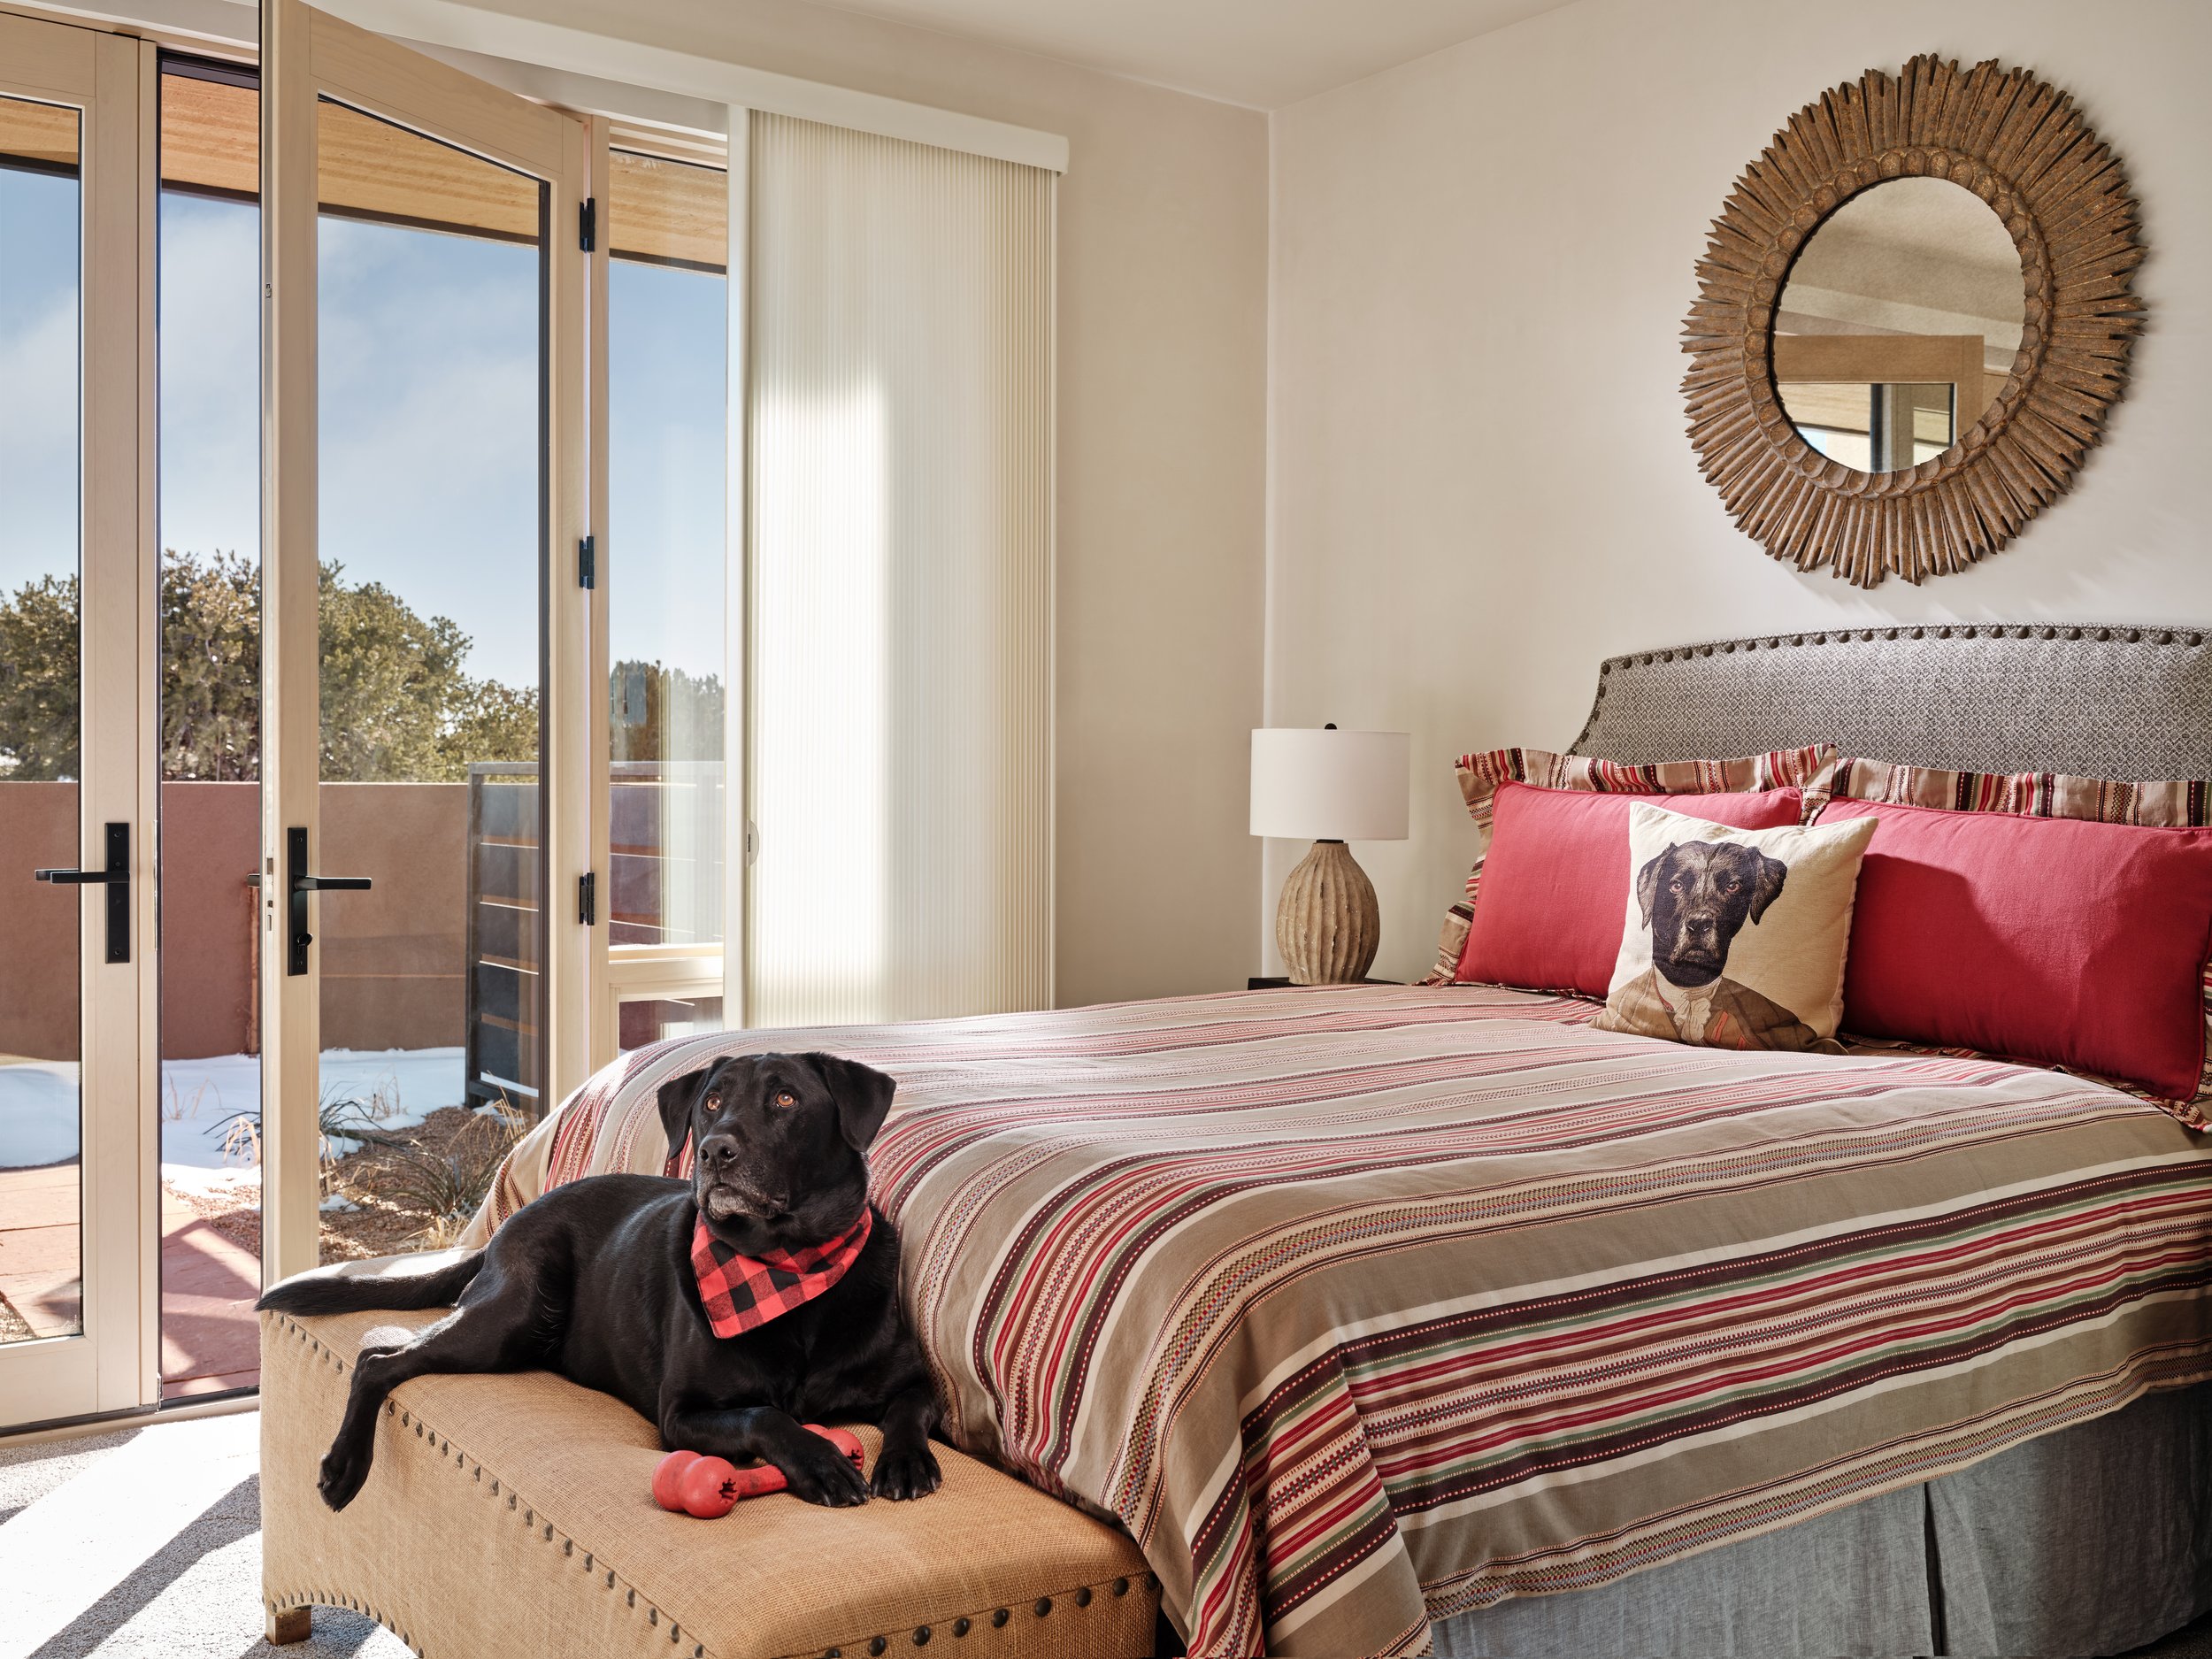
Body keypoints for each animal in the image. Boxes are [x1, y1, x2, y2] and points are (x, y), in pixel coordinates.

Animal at [254, 1057, 938, 1513]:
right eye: (711, 1103)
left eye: (787, 1101)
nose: (715, 1151)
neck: (787, 1270)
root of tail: (507, 1228)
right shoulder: (680, 1413)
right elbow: (766, 1413)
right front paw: (822, 1462)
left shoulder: (916, 1380)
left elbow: (910, 1406)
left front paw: (906, 1462)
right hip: (514, 1317)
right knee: (377, 1358)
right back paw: (344, 1467)